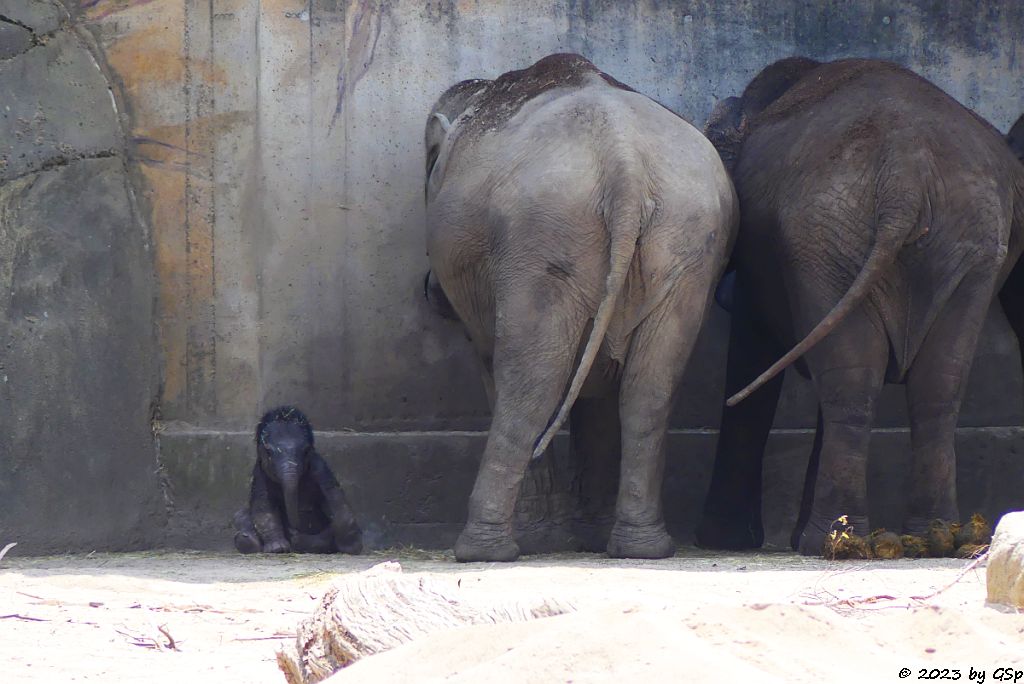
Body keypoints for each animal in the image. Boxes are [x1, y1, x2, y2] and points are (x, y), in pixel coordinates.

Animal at [233, 405, 364, 557]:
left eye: (306, 451)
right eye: (269, 452)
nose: (292, 527)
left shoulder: (320, 468)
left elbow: (335, 498)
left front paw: (352, 547)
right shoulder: (260, 474)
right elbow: (264, 506)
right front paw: (278, 548)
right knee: (240, 517)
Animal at [423, 54, 737, 561]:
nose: (430, 292)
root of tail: (624, 163)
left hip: (542, 237)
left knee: (530, 384)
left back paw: (485, 550)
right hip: (688, 245)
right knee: (650, 390)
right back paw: (641, 548)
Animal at [696, 54, 1024, 557]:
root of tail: (905, 175)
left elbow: (753, 346)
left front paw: (723, 540)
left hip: (842, 236)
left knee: (858, 381)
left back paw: (830, 541)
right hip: (950, 243)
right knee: (927, 383)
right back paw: (928, 536)